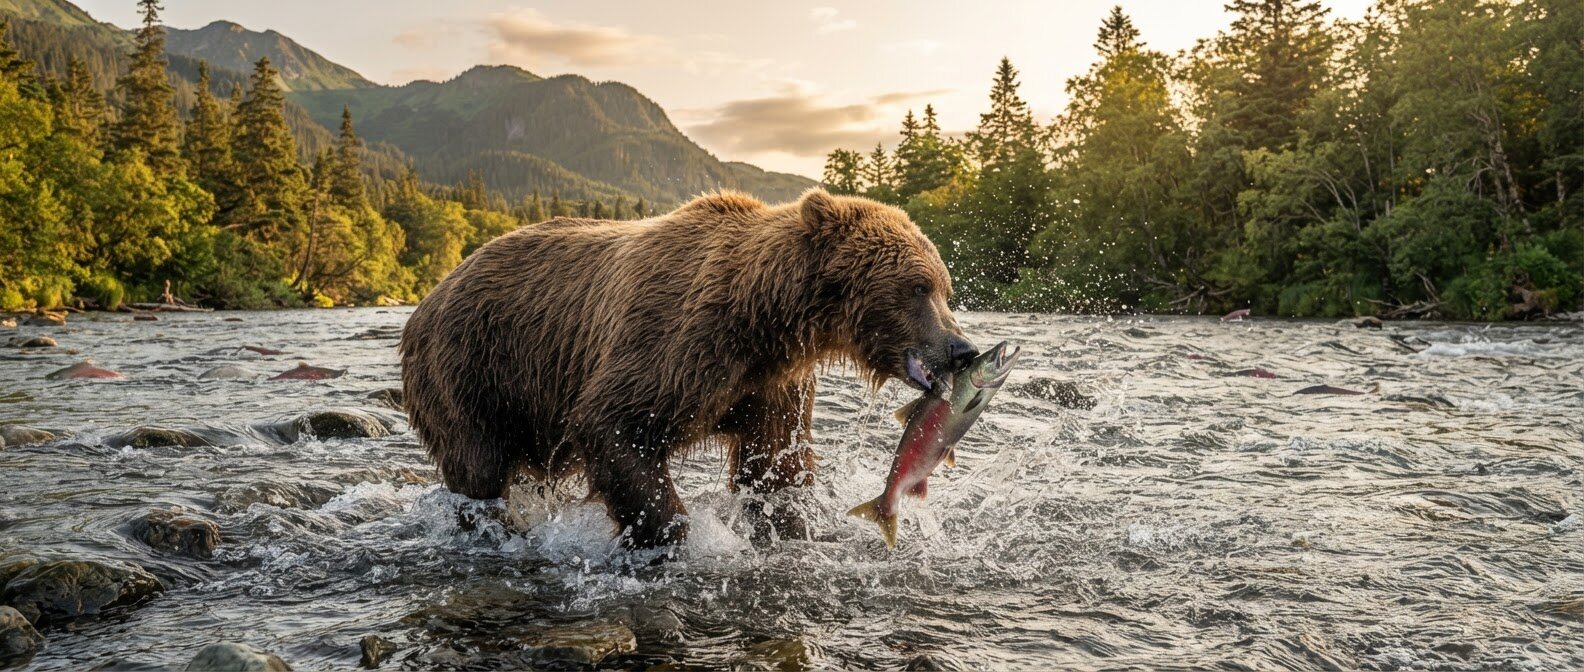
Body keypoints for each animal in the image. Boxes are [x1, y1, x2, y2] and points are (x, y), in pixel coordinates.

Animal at [399, 188, 977, 550]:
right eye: (918, 286)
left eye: (945, 287)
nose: (962, 348)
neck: (763, 320)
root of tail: (429, 298)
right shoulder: (675, 342)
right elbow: (614, 424)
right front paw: (669, 535)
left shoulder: (771, 384)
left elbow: (775, 464)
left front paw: (792, 525)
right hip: (470, 370)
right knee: (478, 469)